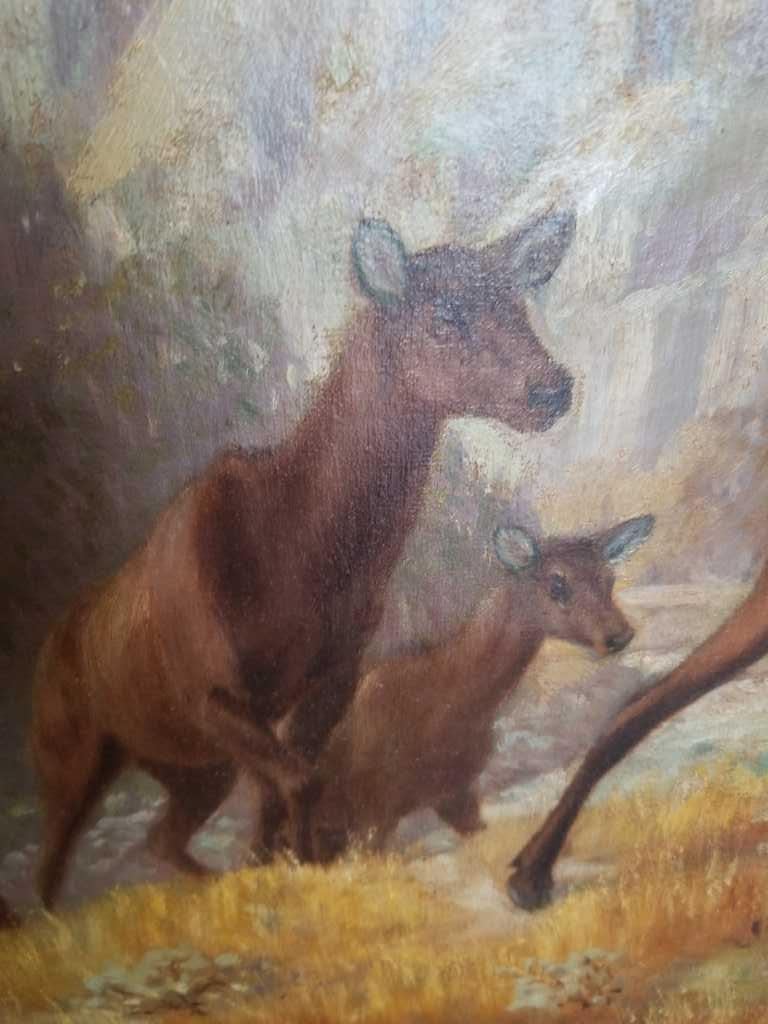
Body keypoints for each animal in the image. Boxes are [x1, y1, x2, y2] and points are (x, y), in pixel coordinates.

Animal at [27, 210, 577, 914]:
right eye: (444, 317)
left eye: (520, 305)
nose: (552, 387)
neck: (300, 555)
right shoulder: (211, 687)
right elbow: (302, 785)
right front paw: (302, 872)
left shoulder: (331, 677)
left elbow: (292, 789)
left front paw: (291, 870)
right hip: (68, 750)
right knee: (49, 871)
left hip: (193, 766)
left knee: (160, 837)